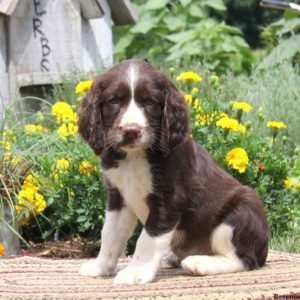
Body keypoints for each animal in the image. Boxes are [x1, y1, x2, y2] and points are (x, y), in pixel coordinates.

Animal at [77, 59, 270, 284]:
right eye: (114, 100)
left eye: (150, 102)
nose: (131, 131)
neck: (135, 157)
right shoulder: (118, 196)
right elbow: (110, 234)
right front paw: (100, 267)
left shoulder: (169, 199)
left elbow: (147, 238)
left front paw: (136, 272)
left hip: (242, 210)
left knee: (244, 259)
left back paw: (200, 263)